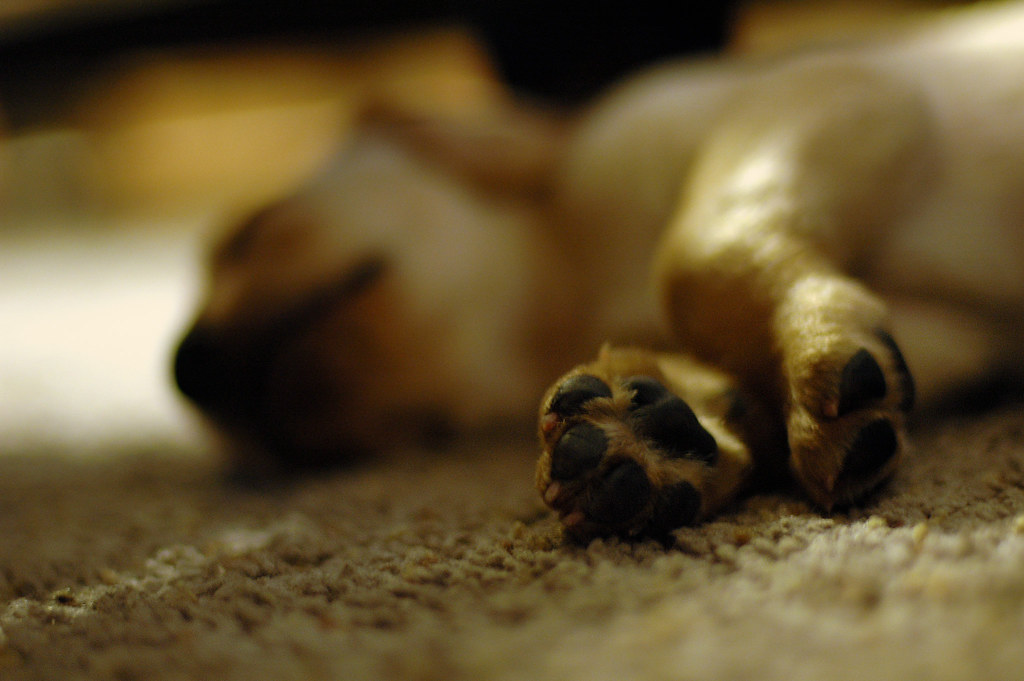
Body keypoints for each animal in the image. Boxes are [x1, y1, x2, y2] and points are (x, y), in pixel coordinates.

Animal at [174, 3, 1024, 536]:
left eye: (251, 231)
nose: (185, 368)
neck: (571, 288)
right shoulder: (957, 335)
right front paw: (666, 427)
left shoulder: (842, 89)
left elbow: (696, 258)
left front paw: (811, 346)